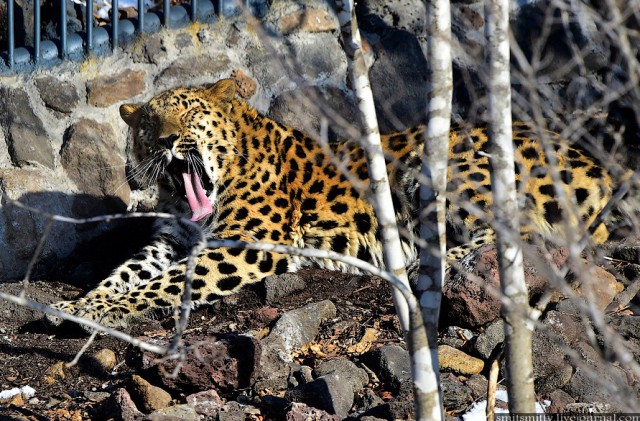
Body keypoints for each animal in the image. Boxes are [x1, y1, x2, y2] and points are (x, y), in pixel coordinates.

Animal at [45, 79, 616, 328]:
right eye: (148, 125)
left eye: (187, 115)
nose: (164, 142)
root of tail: (597, 168)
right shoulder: (172, 239)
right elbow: (127, 270)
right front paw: (79, 303)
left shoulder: (248, 244)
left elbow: (166, 283)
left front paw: (100, 311)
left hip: (446, 166)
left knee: (524, 231)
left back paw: (429, 263)